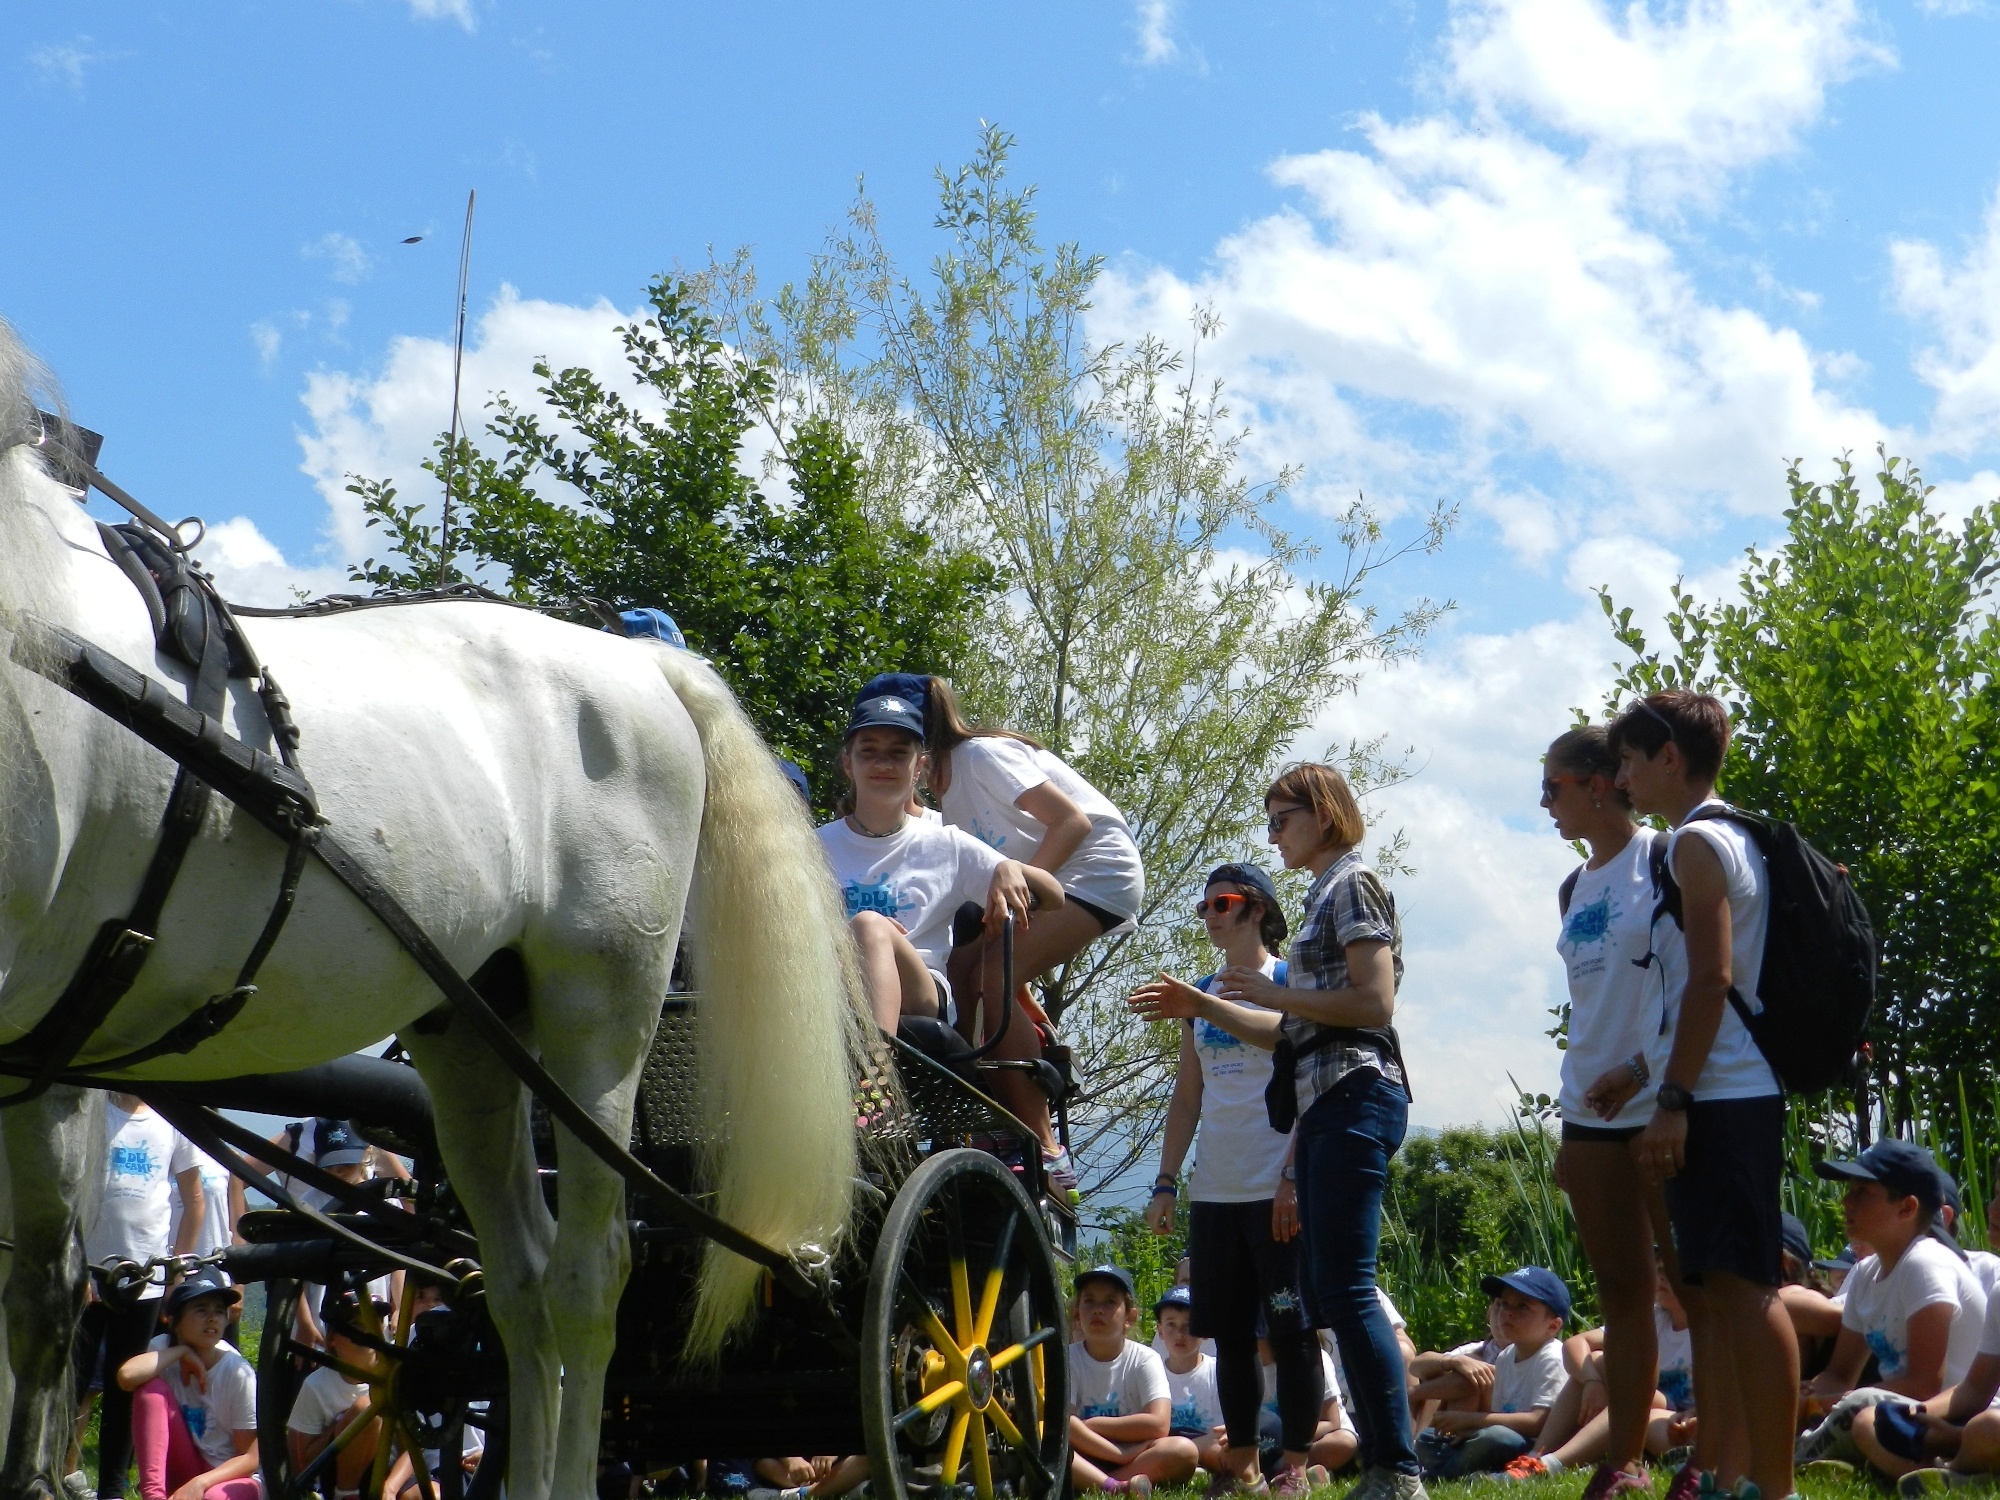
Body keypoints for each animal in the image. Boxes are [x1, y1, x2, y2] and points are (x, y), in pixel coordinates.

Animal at [0, 320, 868, 1500]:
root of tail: (639, 659)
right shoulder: (49, 1048)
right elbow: (40, 1303)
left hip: (599, 1025)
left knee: (591, 1276)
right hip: (473, 1038)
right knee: (521, 1279)